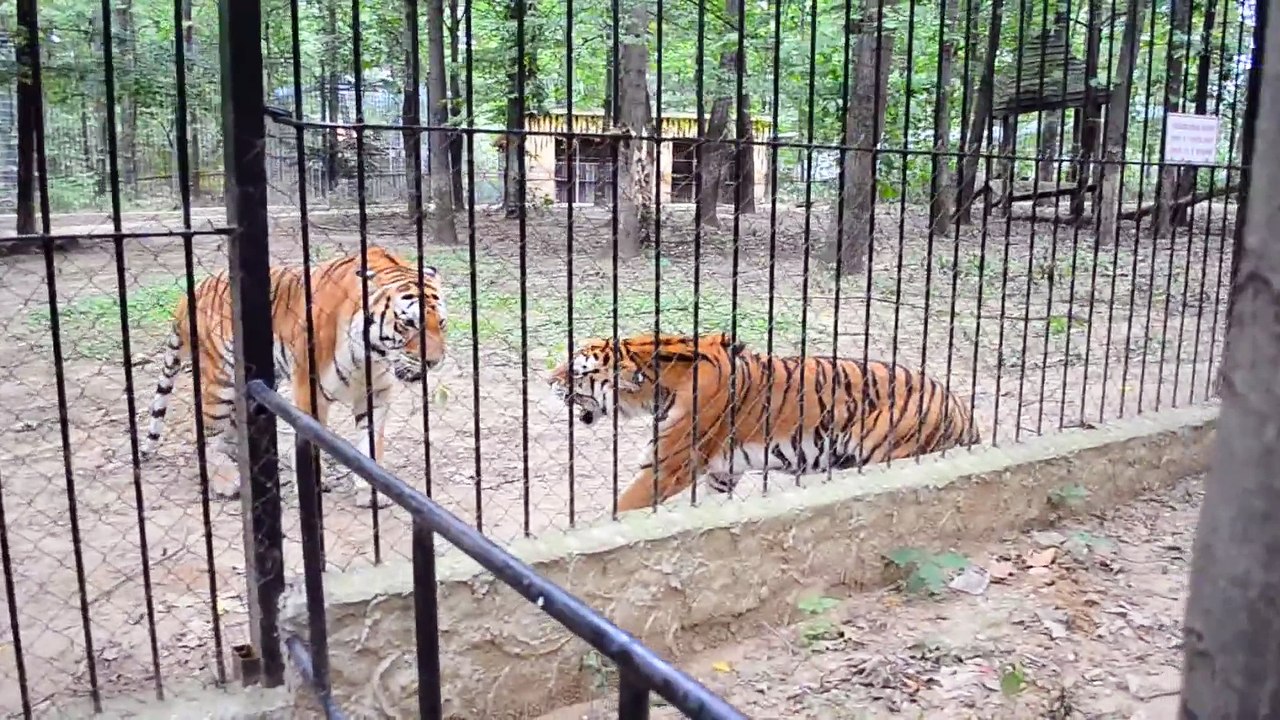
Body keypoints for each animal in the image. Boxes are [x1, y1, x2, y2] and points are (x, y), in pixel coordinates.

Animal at [140, 245, 448, 507]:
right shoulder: (309, 391)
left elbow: (370, 446)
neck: (370, 355)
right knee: (206, 433)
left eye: (442, 324)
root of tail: (190, 294)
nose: (434, 362)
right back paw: (226, 482)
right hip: (219, 383)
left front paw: (370, 492)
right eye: (408, 324)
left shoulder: (376, 392)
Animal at [548, 331, 981, 512]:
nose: (547, 380)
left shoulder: (667, 465)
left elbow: (623, 508)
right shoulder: (722, 472)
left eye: (575, 370)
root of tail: (962, 408)